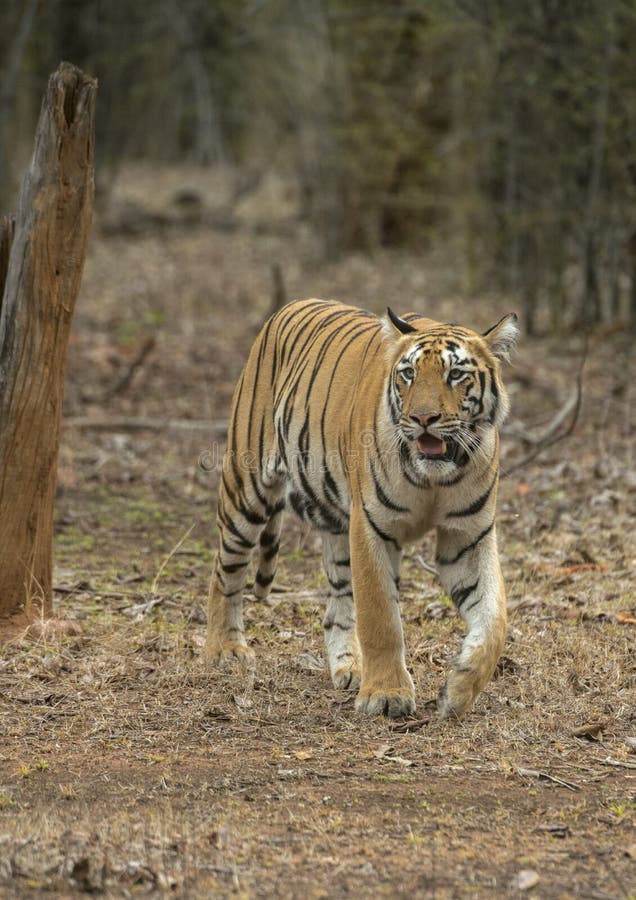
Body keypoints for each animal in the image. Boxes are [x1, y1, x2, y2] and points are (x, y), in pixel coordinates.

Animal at [206, 298, 520, 720]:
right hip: (247, 489)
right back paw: (225, 650)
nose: (423, 418)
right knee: (226, 570)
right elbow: (380, 616)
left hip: (335, 521)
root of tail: (287, 306)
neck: (434, 479)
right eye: (408, 374)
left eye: (455, 374)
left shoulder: (467, 537)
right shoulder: (372, 526)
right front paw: (387, 694)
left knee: (336, 606)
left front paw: (458, 689)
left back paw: (349, 668)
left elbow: (494, 620)